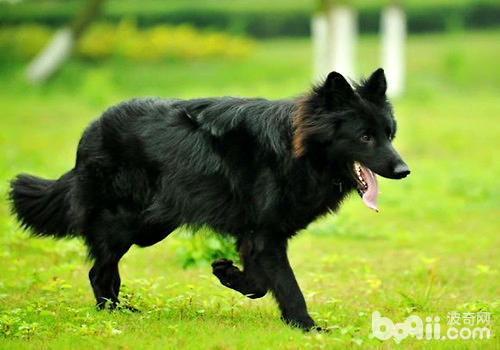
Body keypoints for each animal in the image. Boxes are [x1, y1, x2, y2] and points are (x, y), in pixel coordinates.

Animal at [9, 69, 408, 330]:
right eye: (365, 137)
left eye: (389, 134)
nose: (404, 171)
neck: (294, 149)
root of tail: (89, 133)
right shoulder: (266, 236)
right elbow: (287, 285)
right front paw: (307, 326)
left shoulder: (255, 235)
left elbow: (261, 282)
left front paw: (229, 275)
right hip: (125, 224)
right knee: (99, 271)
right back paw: (112, 314)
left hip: (151, 225)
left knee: (107, 272)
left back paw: (121, 311)